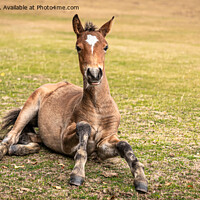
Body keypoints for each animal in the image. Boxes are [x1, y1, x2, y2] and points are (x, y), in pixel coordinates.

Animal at [0, 14, 147, 193]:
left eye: (105, 47)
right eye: (78, 47)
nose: (94, 74)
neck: (98, 108)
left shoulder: (103, 144)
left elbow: (126, 147)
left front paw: (141, 180)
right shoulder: (65, 140)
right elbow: (84, 128)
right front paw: (77, 173)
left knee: (30, 138)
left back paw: (23, 147)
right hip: (29, 107)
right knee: (11, 137)